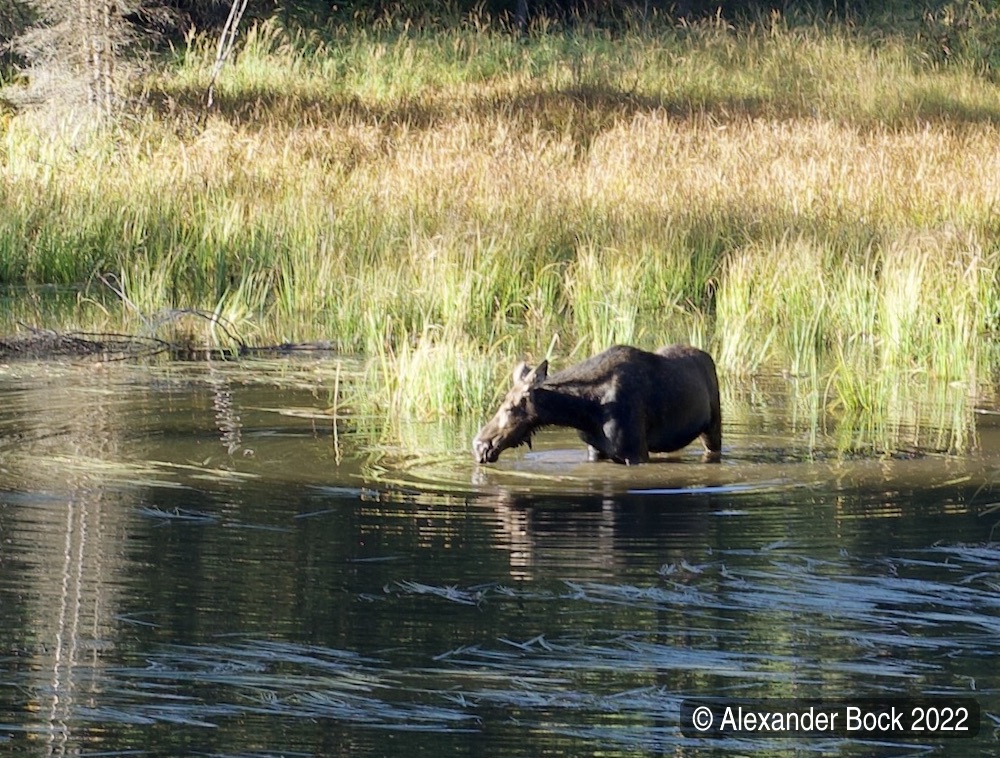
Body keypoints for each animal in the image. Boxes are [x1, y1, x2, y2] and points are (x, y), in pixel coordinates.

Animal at [472, 346, 724, 466]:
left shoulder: (636, 452)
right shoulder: (594, 449)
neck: (584, 412)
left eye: (510, 408)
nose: (479, 445)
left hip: (713, 427)